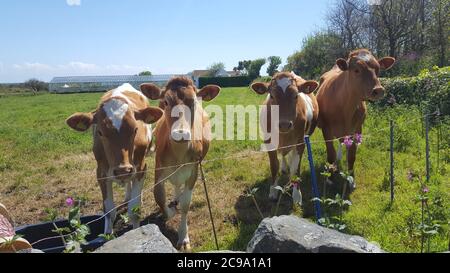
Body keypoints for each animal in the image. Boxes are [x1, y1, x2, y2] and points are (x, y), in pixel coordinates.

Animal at [66, 82, 164, 232]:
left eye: (135, 129)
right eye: (100, 132)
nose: (123, 170)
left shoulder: (141, 168)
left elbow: (134, 211)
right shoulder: (101, 173)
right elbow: (109, 212)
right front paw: (108, 234)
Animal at [250, 71, 320, 200]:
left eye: (296, 95)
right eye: (272, 96)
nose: (284, 124)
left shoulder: (300, 142)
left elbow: (295, 168)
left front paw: (297, 194)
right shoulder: (269, 142)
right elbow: (274, 166)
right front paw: (273, 191)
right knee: (283, 154)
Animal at [316, 47, 394, 186]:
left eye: (378, 69)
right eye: (356, 70)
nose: (379, 90)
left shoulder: (357, 129)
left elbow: (352, 155)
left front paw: (351, 178)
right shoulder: (326, 129)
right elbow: (330, 154)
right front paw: (330, 177)